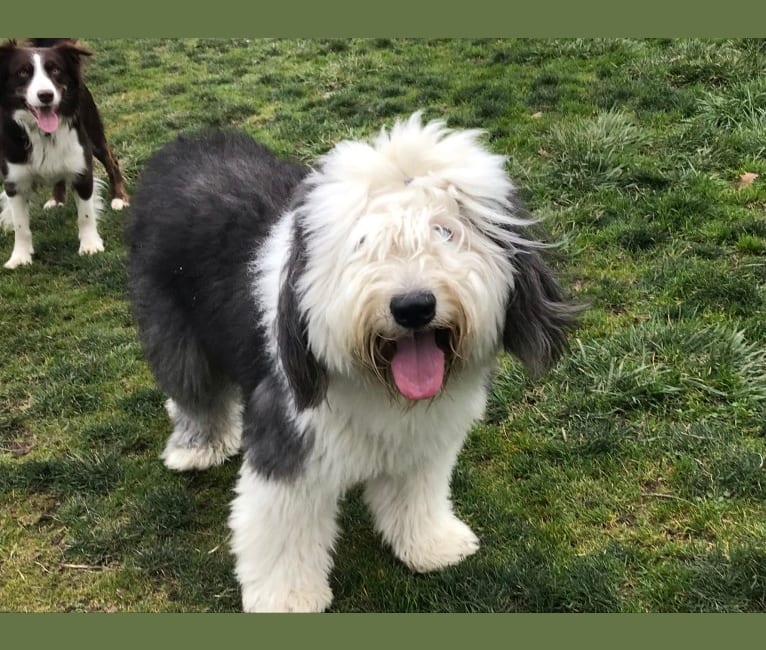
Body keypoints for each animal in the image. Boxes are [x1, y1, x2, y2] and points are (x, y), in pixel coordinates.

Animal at [0, 38, 126, 268]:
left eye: (55, 70)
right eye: (23, 72)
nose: (46, 95)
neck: (43, 134)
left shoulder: (82, 169)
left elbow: (85, 215)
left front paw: (90, 246)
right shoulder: (14, 181)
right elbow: (20, 226)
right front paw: (20, 257)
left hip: (95, 135)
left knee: (112, 161)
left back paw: (119, 198)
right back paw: (56, 200)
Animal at [127, 114, 584, 612]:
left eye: (445, 231)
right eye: (363, 242)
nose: (413, 307)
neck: (380, 385)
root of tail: (183, 148)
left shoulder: (422, 445)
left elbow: (416, 497)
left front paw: (432, 545)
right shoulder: (291, 442)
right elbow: (282, 531)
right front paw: (287, 598)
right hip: (175, 326)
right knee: (194, 390)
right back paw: (197, 447)